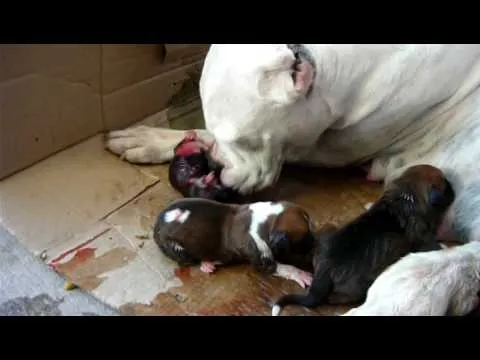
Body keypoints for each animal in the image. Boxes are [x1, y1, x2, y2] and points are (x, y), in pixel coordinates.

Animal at [154, 197, 316, 286]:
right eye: (303, 239)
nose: (315, 243)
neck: (268, 220)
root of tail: (157, 226)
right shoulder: (262, 259)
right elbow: (285, 267)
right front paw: (301, 274)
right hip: (176, 248)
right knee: (189, 260)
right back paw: (207, 264)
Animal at [272, 164, 456, 316]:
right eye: (446, 184)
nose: (454, 188)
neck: (408, 194)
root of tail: (324, 272)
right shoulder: (423, 236)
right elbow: (431, 243)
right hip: (358, 286)